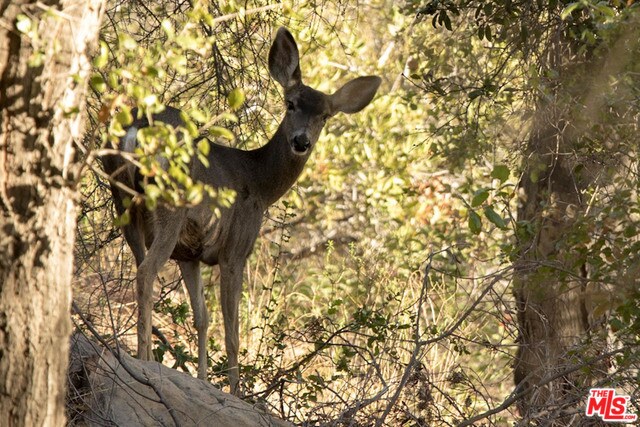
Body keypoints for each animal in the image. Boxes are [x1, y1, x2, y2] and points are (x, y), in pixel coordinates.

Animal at [100, 27, 380, 394]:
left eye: (325, 116)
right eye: (290, 103)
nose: (301, 141)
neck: (259, 182)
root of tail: (136, 128)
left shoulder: (190, 254)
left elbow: (202, 318)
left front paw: (203, 380)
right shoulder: (236, 248)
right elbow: (232, 332)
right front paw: (236, 392)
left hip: (123, 203)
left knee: (138, 265)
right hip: (169, 205)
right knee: (146, 272)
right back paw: (144, 360)